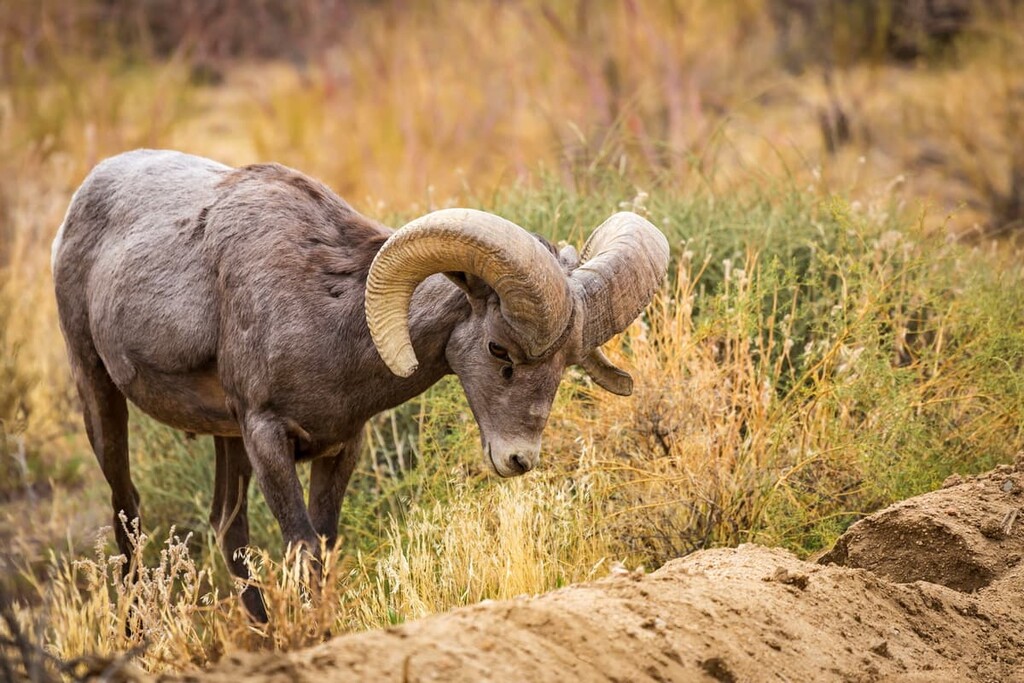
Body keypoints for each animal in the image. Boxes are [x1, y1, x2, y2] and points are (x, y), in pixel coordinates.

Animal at [51, 149, 669, 621]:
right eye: (499, 350)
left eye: (565, 363)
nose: (518, 459)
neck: (333, 320)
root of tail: (85, 191)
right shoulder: (267, 436)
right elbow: (304, 550)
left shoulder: (339, 447)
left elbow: (321, 548)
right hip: (99, 393)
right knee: (129, 517)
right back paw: (137, 631)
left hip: (227, 443)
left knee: (227, 530)